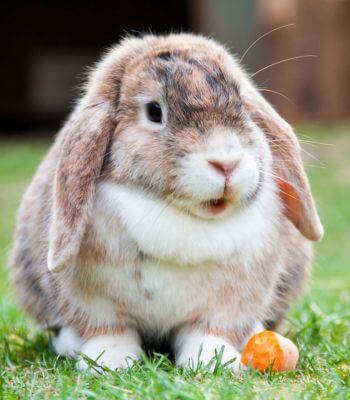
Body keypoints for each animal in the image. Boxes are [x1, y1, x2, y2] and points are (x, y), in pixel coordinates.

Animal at [10, 32, 322, 374]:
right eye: (154, 112)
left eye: (241, 104)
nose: (226, 162)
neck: (179, 215)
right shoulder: (93, 304)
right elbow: (109, 332)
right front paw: (109, 363)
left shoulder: (228, 305)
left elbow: (208, 332)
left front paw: (214, 362)